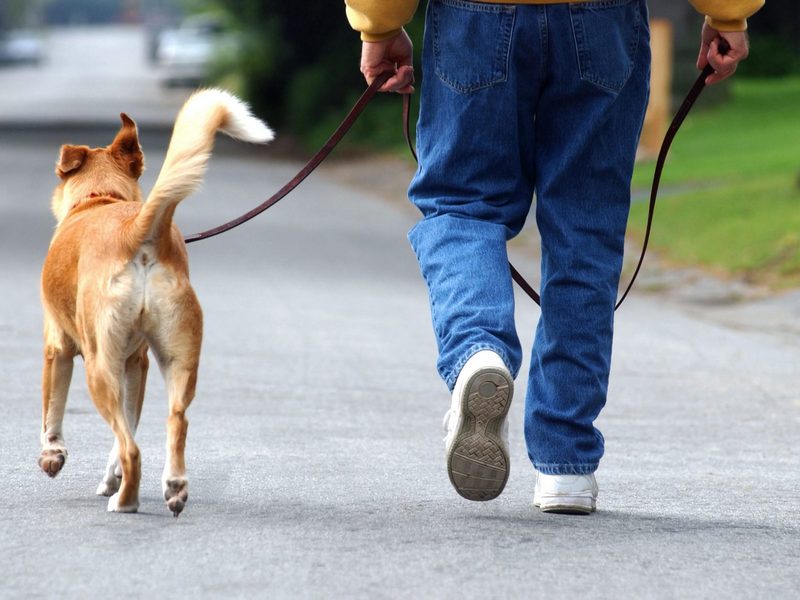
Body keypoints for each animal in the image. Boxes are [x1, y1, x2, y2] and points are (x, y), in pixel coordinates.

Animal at [39, 89, 274, 516]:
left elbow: (53, 409)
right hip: (177, 358)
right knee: (174, 421)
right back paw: (173, 486)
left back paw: (126, 501)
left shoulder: (58, 348)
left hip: (100, 367)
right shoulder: (139, 362)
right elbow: (129, 425)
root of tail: (136, 230)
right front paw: (110, 476)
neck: (101, 199)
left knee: (132, 448)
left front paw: (52, 456)